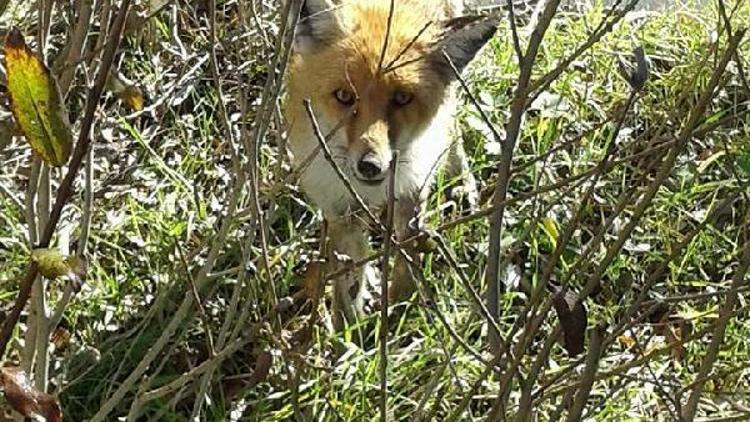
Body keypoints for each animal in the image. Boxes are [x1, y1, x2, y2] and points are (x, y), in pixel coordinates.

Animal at [288, 0, 500, 330]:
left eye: (401, 98)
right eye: (344, 96)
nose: (370, 165)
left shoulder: (412, 189)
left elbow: (406, 257)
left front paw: (397, 312)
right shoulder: (340, 206)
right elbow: (347, 280)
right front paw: (348, 334)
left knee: (452, 119)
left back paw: (463, 184)